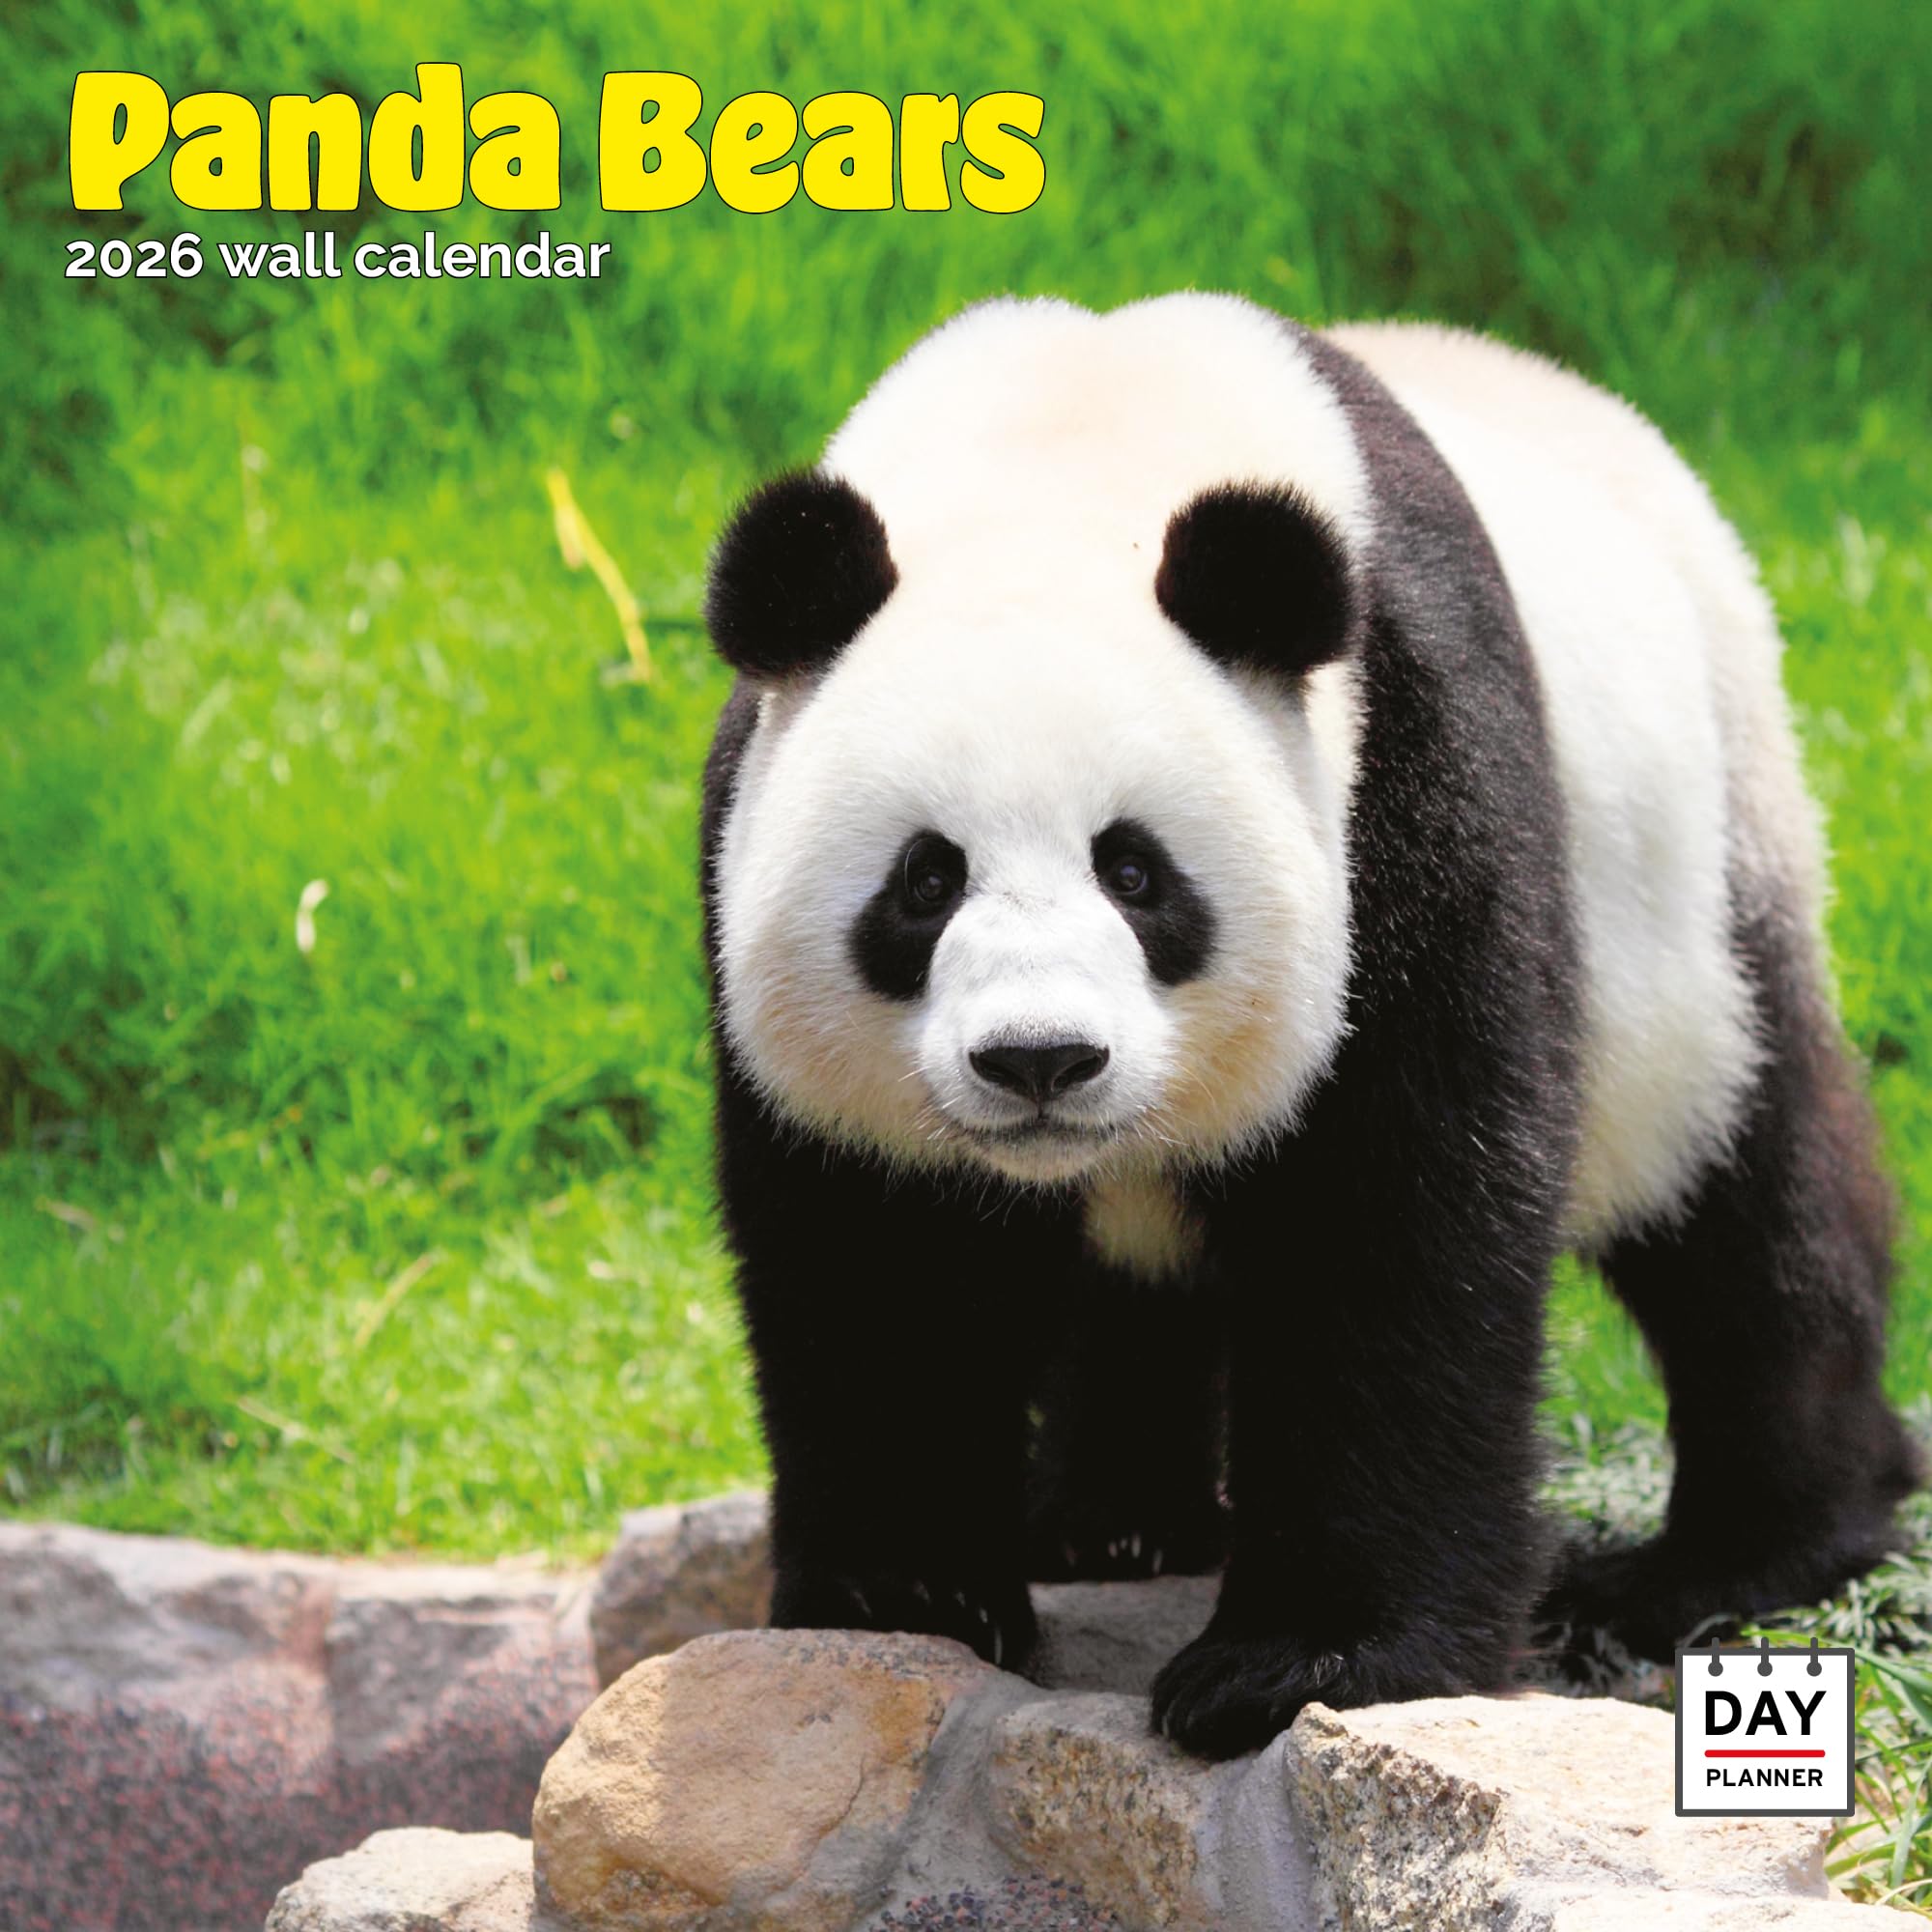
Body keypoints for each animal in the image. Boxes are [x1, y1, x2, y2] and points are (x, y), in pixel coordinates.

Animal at [696, 292, 1922, 1759]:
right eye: (923, 880)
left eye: (1136, 871)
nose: (1041, 1060)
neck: (1071, 448)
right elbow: (878, 1249)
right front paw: (907, 1594)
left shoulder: (1410, 769)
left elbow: (1395, 1213)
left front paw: (1299, 1663)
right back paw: (1113, 1519)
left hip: (1702, 871)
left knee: (1748, 1191)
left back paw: (1729, 1560)